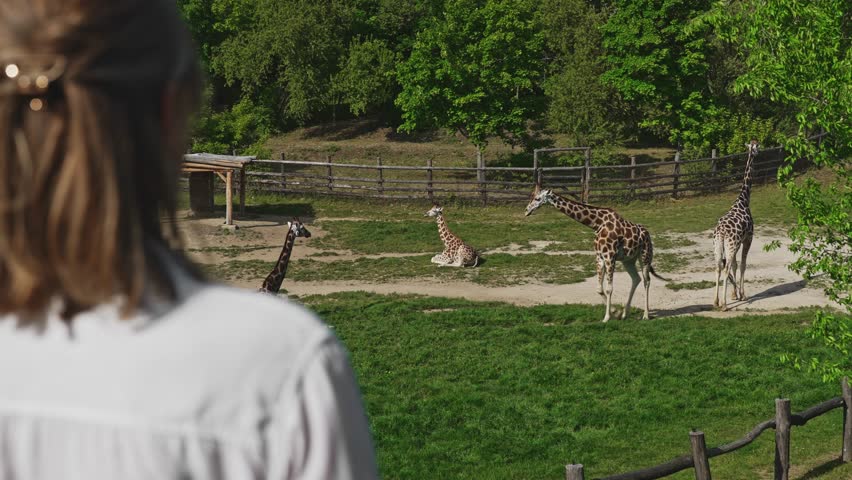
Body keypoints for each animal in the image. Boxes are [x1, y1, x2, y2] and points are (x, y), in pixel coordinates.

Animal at [525, 185, 668, 321]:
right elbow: (599, 289)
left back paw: (645, 315)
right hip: (628, 260)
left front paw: (607, 317)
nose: (526, 211)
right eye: (531, 197)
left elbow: (609, 288)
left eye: (537, 198)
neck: (597, 223)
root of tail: (648, 234)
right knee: (636, 279)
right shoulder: (600, 257)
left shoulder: (610, 256)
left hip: (645, 256)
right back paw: (625, 314)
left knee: (646, 281)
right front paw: (616, 312)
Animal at [713, 139, 759, 310]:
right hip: (731, 244)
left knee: (718, 267)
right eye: (757, 147)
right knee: (725, 269)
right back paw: (724, 305)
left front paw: (735, 294)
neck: (743, 201)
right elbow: (743, 264)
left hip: (718, 245)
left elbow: (735, 265)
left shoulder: (737, 244)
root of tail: (721, 232)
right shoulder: (748, 238)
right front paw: (742, 295)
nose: (758, 152)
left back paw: (716, 302)